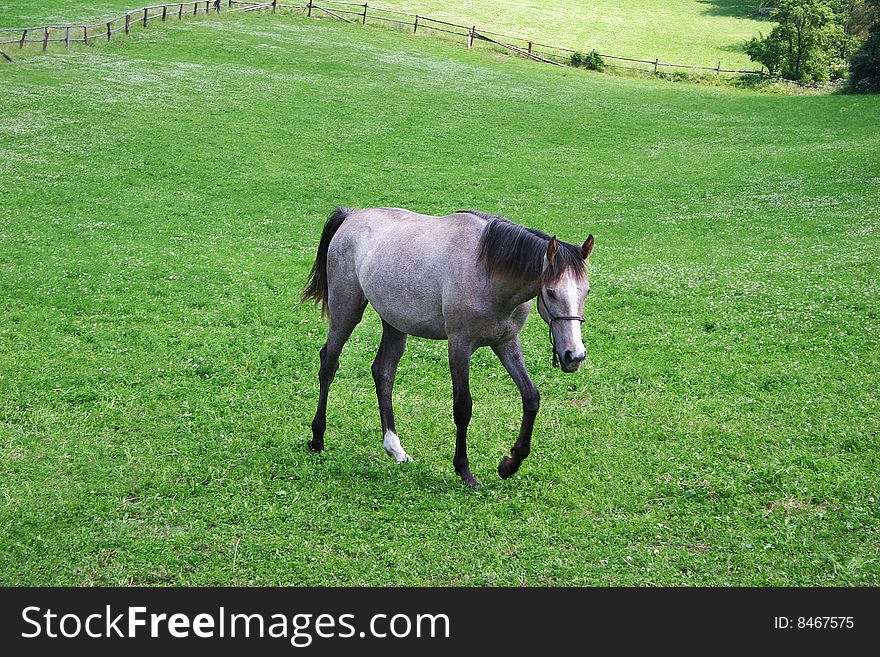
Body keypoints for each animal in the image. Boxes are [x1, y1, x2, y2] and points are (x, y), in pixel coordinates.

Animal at [300, 206, 596, 486]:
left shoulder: (506, 342)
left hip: (394, 324)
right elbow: (463, 407)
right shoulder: (459, 346)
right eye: (551, 292)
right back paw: (317, 439)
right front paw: (464, 470)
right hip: (346, 311)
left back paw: (395, 448)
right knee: (329, 364)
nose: (574, 355)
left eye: (587, 291)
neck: (487, 271)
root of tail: (351, 216)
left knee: (383, 373)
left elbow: (531, 398)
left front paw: (509, 464)